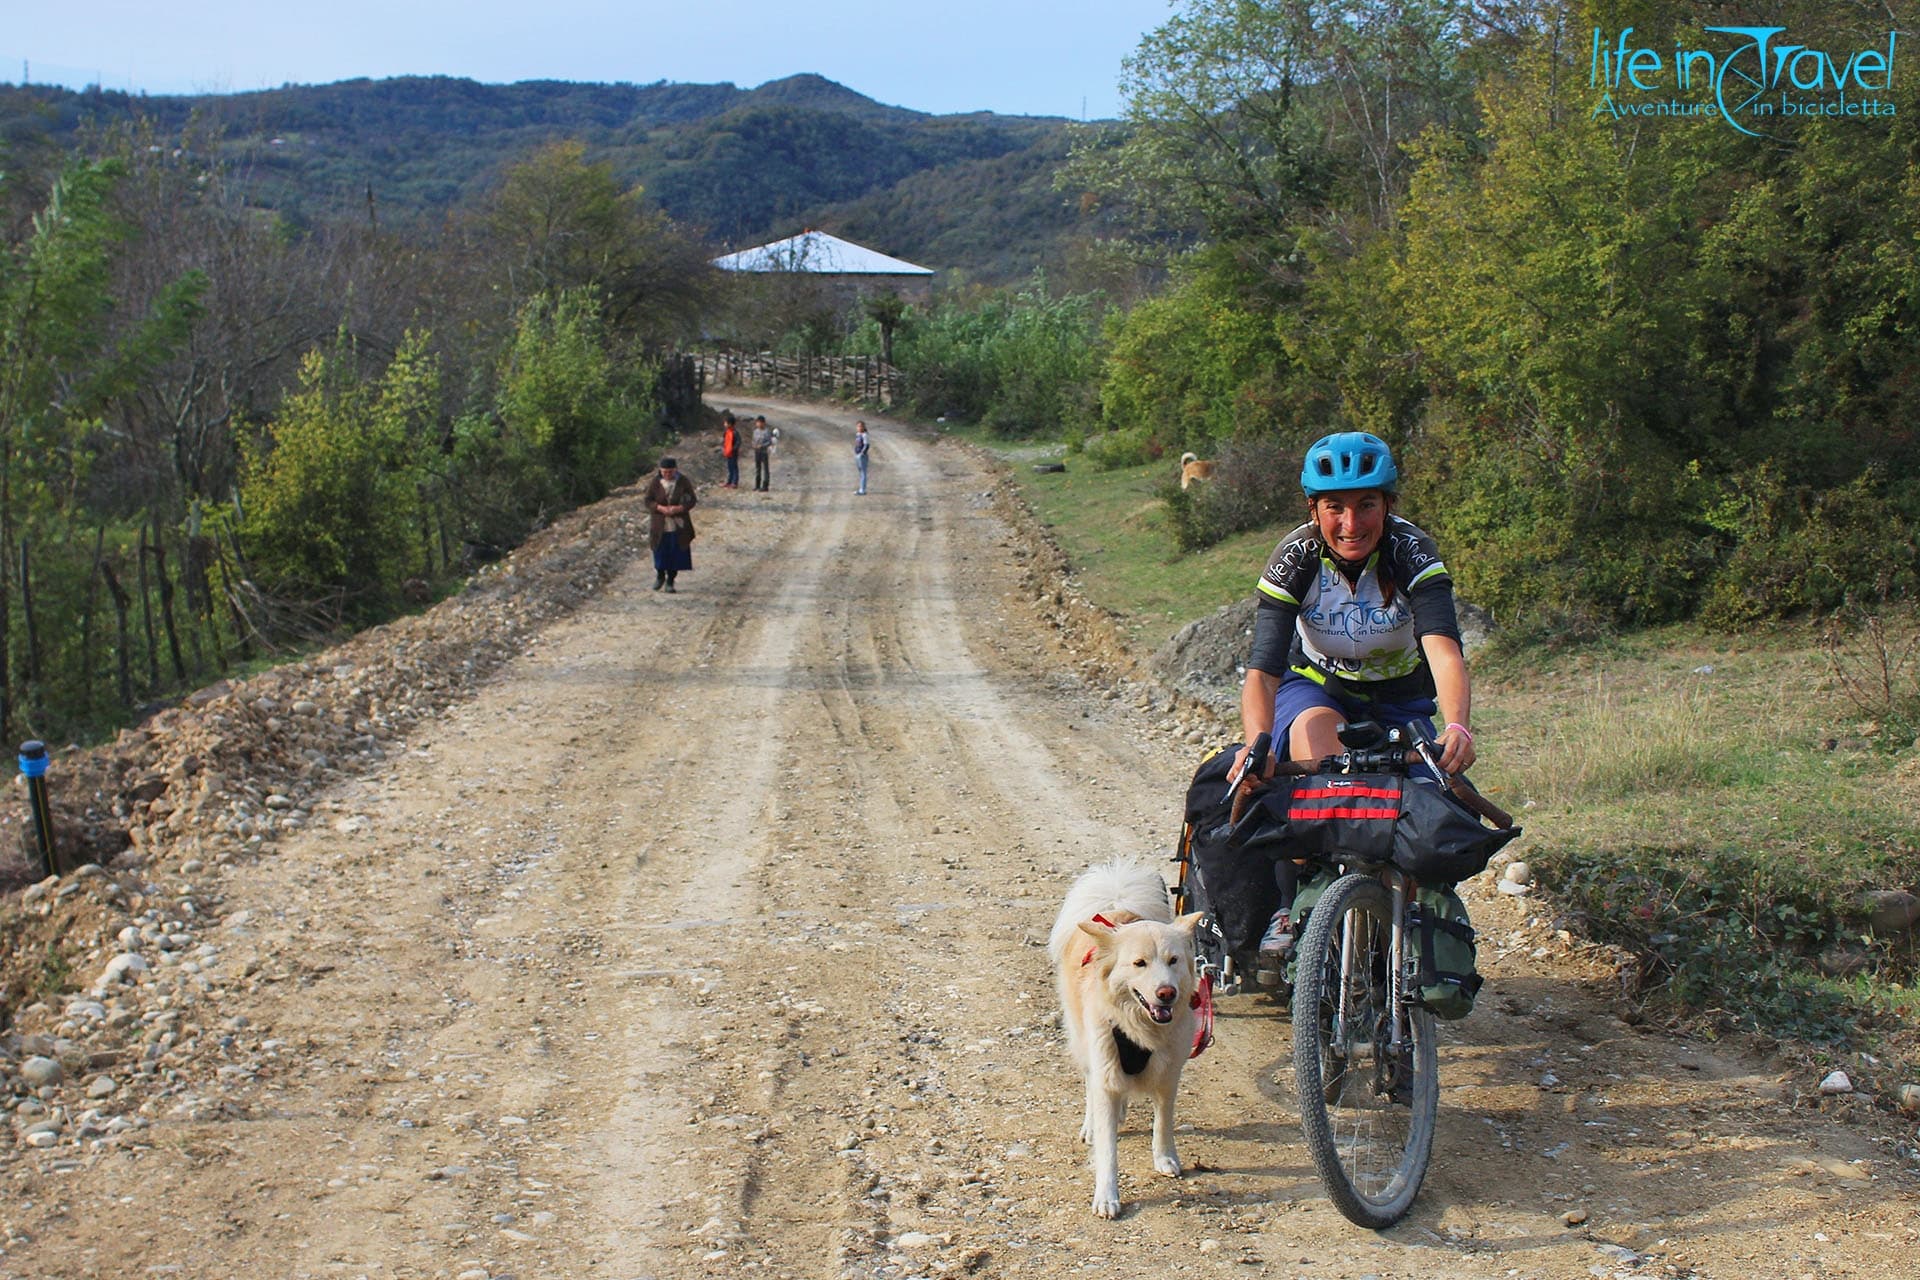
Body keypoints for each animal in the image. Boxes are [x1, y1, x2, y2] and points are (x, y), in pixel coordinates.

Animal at [1052, 859, 1198, 1220]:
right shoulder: (1105, 1065)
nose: (1167, 993)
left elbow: (1163, 1123)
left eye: (1173, 960)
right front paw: (1107, 1196)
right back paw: (1092, 1124)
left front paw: (1165, 1158)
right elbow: (1108, 1150)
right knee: (1090, 1085)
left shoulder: (1169, 1075)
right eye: (1139, 963)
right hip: (1086, 1046)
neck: (1140, 1028)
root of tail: (1114, 906)